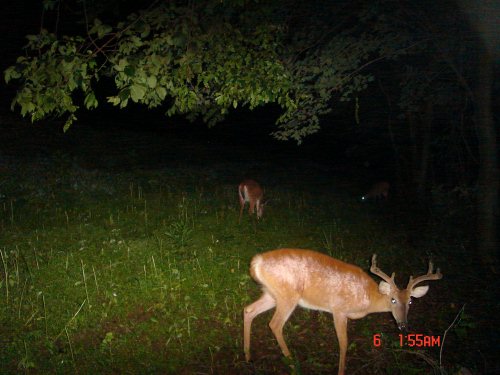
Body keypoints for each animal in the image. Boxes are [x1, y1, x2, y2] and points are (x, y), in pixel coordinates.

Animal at [244, 248, 444, 374]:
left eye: (410, 301)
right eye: (393, 300)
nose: (403, 326)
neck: (368, 297)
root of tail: (256, 262)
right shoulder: (339, 309)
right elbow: (343, 343)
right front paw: (341, 371)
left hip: (271, 293)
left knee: (248, 310)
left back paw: (247, 356)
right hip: (287, 295)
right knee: (275, 324)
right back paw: (292, 363)